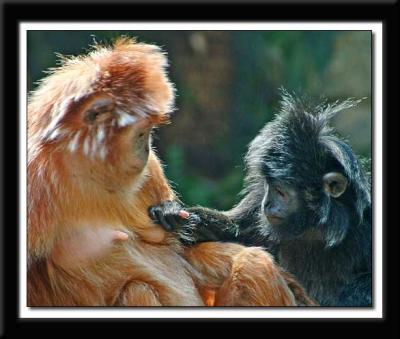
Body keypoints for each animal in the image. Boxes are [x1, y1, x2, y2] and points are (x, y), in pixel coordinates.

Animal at [28, 37, 312, 308]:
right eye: (140, 133)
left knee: (253, 263)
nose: (146, 148)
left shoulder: (150, 170)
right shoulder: (35, 179)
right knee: (137, 290)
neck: (87, 166)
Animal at [150, 92, 372, 308]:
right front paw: (178, 215)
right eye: (268, 187)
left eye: (280, 192)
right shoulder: (257, 201)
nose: (267, 204)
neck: (313, 227)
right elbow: (236, 232)